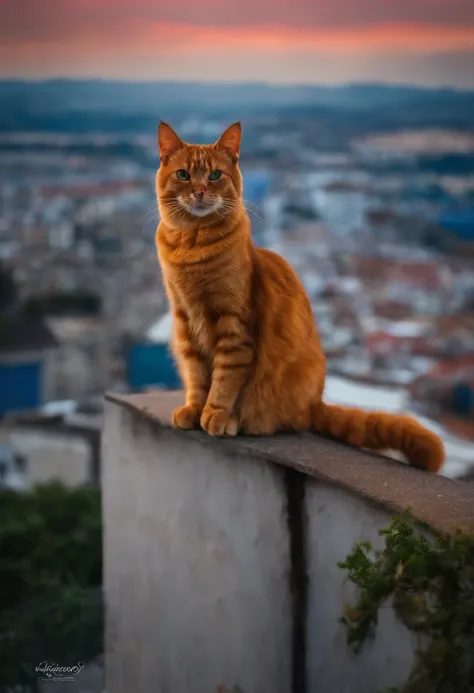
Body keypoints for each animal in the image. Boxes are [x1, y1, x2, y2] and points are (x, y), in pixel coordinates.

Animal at [155, 121, 444, 474]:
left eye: (214, 175)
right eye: (183, 175)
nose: (198, 191)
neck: (191, 246)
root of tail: (314, 404)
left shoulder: (235, 326)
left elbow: (225, 379)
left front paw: (216, 414)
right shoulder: (185, 321)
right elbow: (197, 376)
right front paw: (195, 410)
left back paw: (240, 422)